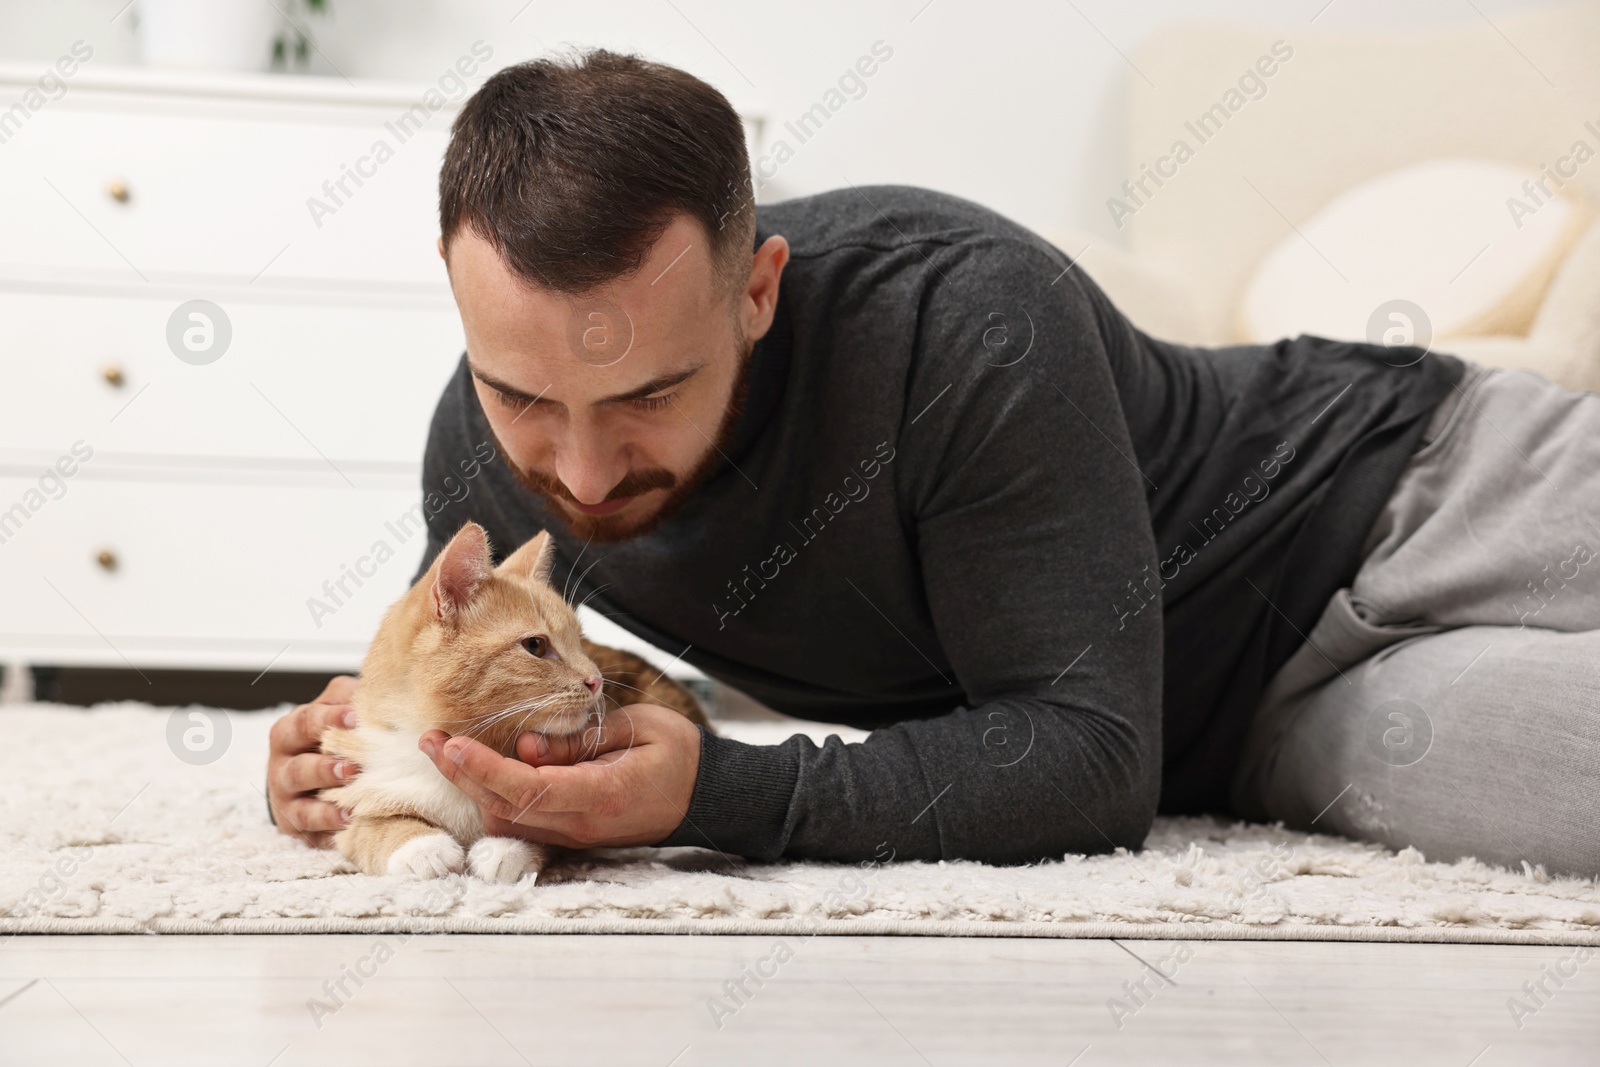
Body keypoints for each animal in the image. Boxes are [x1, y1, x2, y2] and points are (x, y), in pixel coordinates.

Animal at [318, 518, 707, 883]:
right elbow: (367, 828)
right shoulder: (354, 789)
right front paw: (421, 847)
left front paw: (505, 849)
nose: (597, 681)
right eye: (535, 645)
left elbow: (549, 830)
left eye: (580, 641)